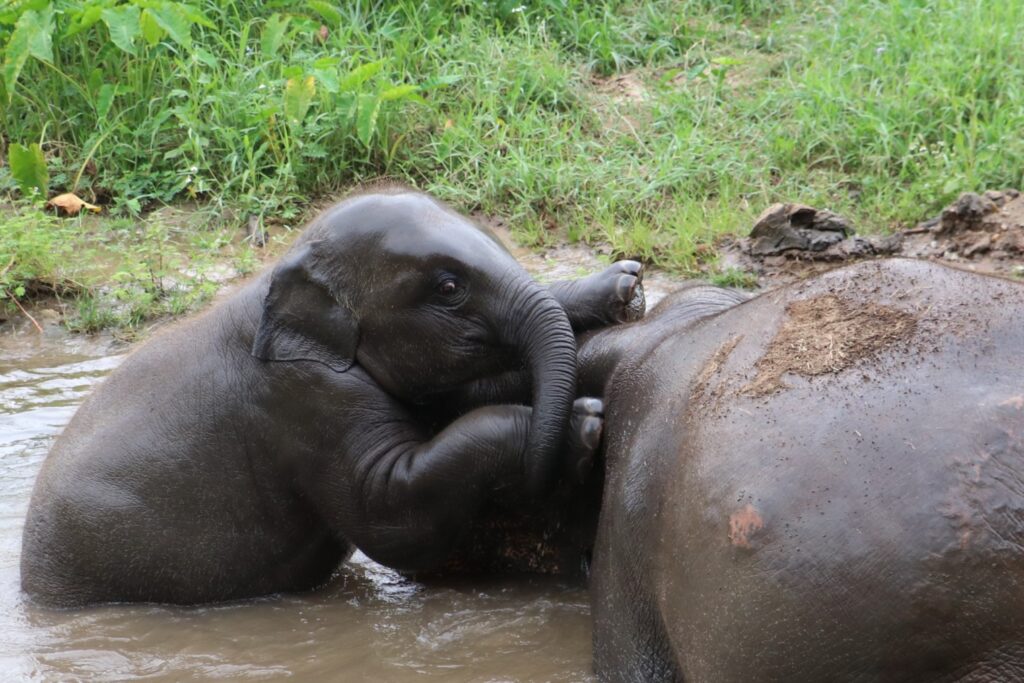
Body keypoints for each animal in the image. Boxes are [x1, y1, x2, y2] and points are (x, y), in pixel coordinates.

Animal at [20, 187, 644, 607]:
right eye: (449, 288)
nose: (636, 276)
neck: (283, 266)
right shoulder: (302, 396)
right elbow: (391, 512)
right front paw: (583, 425)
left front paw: (621, 287)